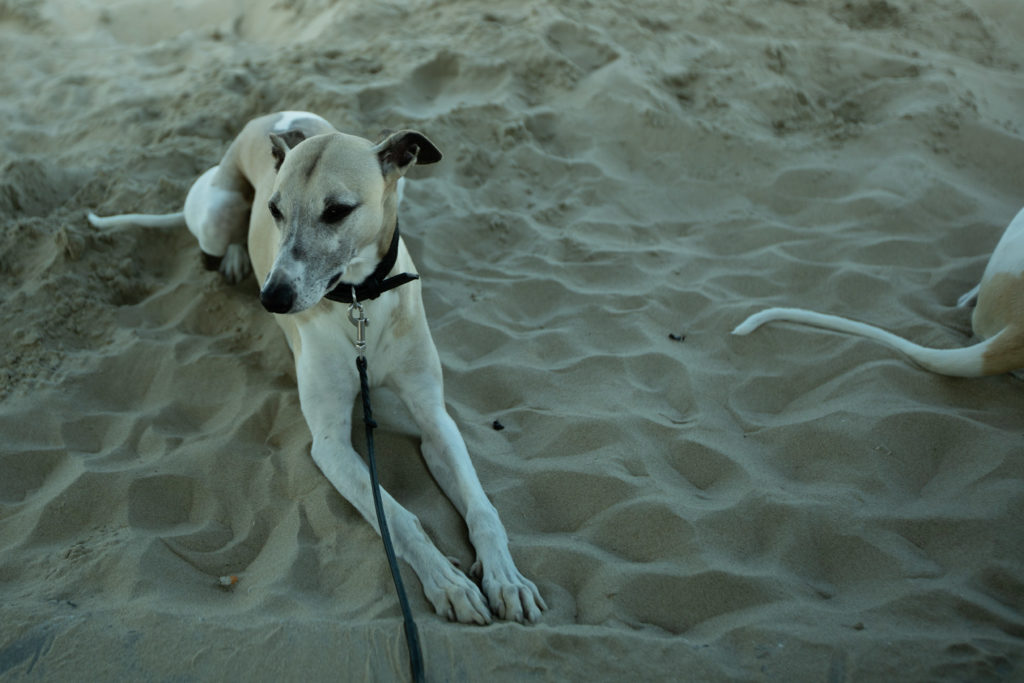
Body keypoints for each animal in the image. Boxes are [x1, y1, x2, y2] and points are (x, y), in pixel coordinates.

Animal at [90, 111, 544, 626]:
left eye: (337, 211)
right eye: (275, 210)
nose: (272, 298)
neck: (361, 301)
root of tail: (269, 119)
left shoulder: (435, 419)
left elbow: (482, 509)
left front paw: (507, 579)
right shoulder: (330, 444)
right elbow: (398, 517)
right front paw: (449, 583)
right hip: (216, 213)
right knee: (216, 237)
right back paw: (234, 257)